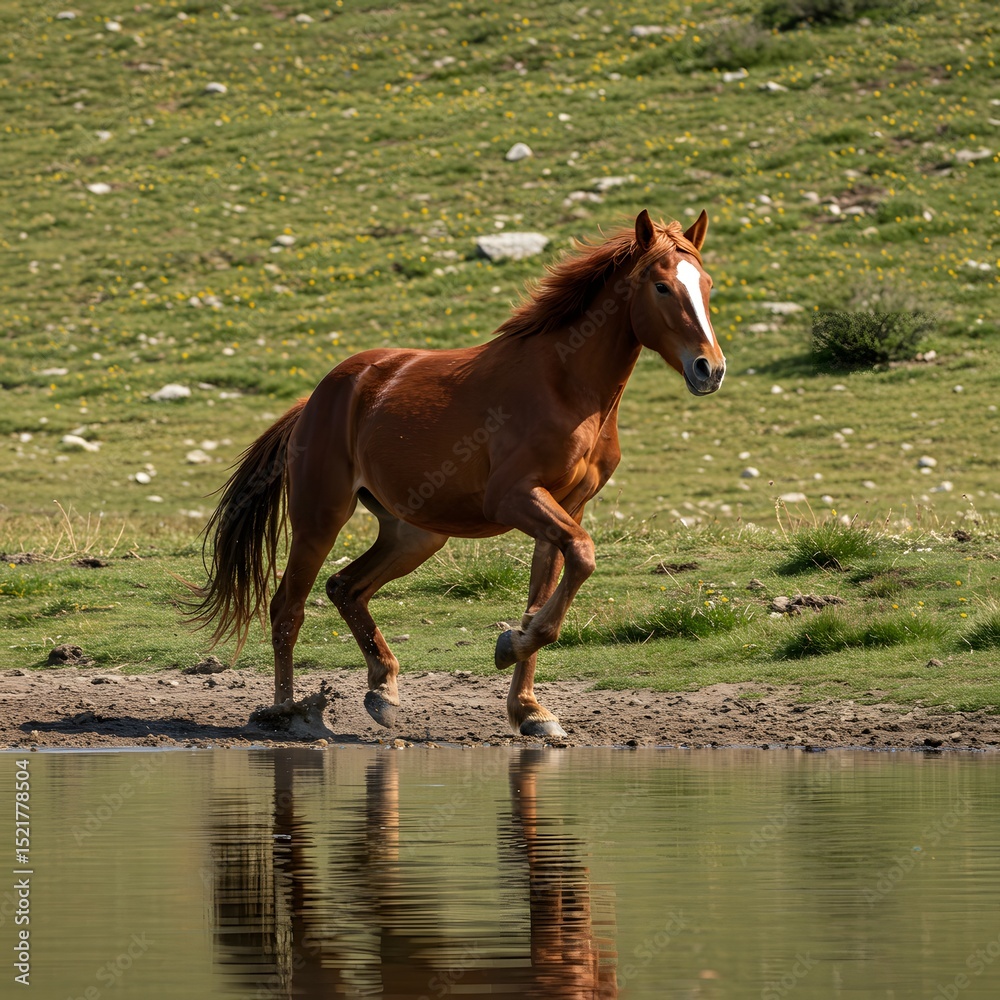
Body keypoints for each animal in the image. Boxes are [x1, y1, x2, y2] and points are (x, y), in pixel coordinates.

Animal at [188, 209, 726, 737]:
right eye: (661, 286)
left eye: (707, 284)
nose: (710, 369)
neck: (566, 387)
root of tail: (317, 398)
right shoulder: (513, 497)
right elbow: (583, 556)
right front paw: (511, 644)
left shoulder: (565, 508)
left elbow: (548, 591)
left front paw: (529, 707)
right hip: (320, 518)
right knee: (287, 608)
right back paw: (287, 711)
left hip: (414, 534)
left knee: (345, 588)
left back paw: (383, 691)